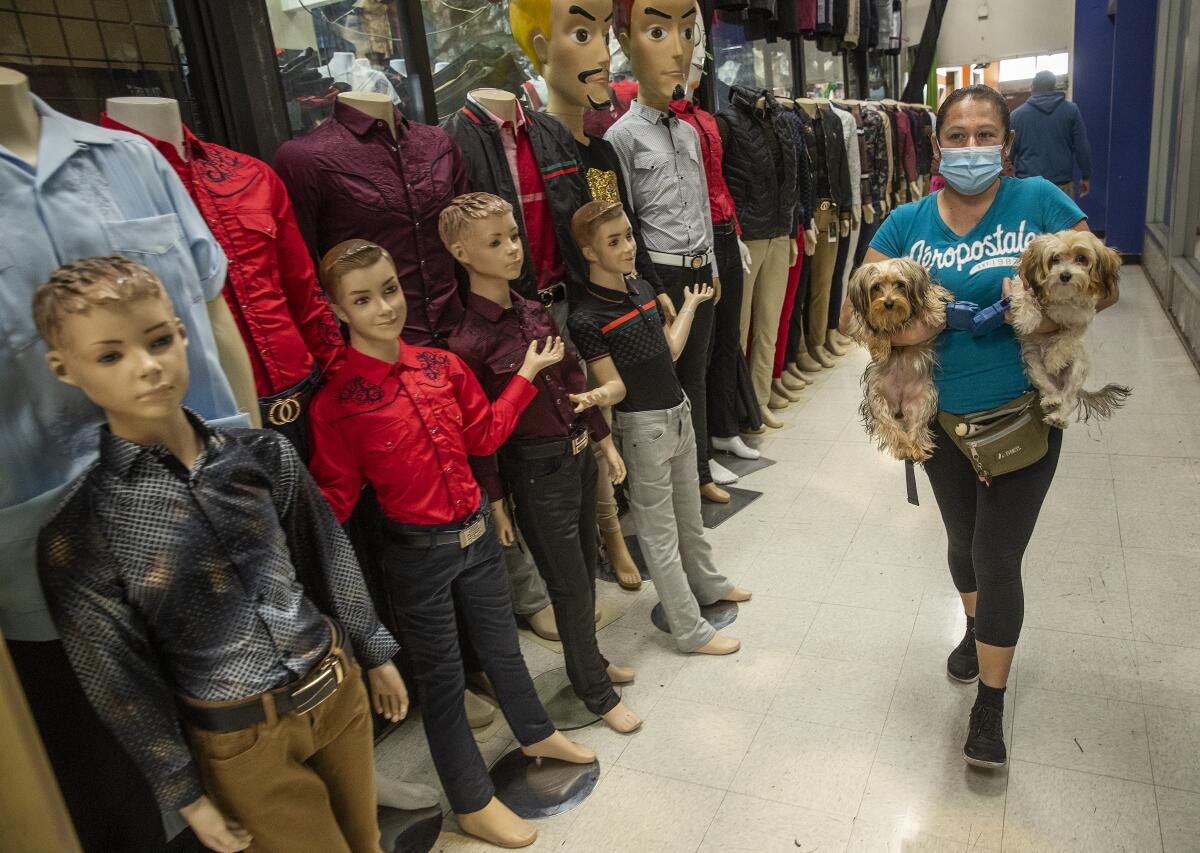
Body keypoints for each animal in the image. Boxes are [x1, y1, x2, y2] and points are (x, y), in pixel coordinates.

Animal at [849, 259, 950, 460]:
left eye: (900, 284)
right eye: (876, 287)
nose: (889, 303)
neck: (895, 319)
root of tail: (900, 407)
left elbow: (931, 293)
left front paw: (933, 311)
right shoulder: (859, 322)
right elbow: (875, 329)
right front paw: (880, 348)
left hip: (924, 399)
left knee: (918, 426)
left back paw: (916, 447)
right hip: (877, 400)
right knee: (889, 426)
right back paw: (903, 446)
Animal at [1017, 230, 1128, 427]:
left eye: (1081, 258)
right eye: (1054, 258)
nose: (1065, 275)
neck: (1061, 294)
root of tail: (1059, 382)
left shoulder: (1082, 318)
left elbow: (1067, 337)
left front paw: (1054, 359)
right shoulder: (1024, 286)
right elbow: (1025, 295)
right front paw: (1026, 318)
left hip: (1076, 370)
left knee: (1068, 398)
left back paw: (1059, 417)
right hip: (1033, 366)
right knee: (1050, 389)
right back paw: (1051, 400)